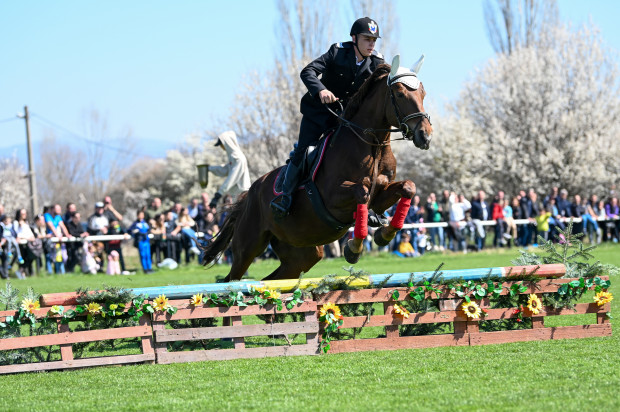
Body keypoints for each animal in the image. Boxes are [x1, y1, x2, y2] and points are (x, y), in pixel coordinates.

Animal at [201, 54, 434, 280]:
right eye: (400, 94)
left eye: (423, 93)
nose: (425, 136)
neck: (372, 146)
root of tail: (248, 195)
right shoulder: (333, 198)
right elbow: (362, 192)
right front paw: (353, 249)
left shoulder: (380, 197)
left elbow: (408, 187)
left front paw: (383, 235)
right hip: (248, 246)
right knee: (232, 278)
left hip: (302, 253)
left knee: (273, 280)